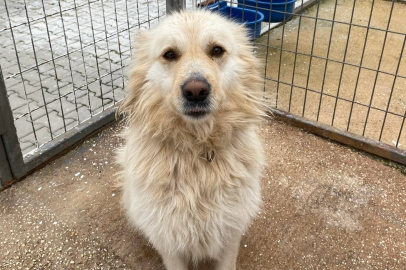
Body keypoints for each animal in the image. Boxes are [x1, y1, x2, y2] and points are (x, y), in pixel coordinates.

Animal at [116, 9, 264, 270]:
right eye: (170, 54)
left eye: (216, 50)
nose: (196, 91)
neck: (198, 147)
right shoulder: (168, 240)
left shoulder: (230, 233)